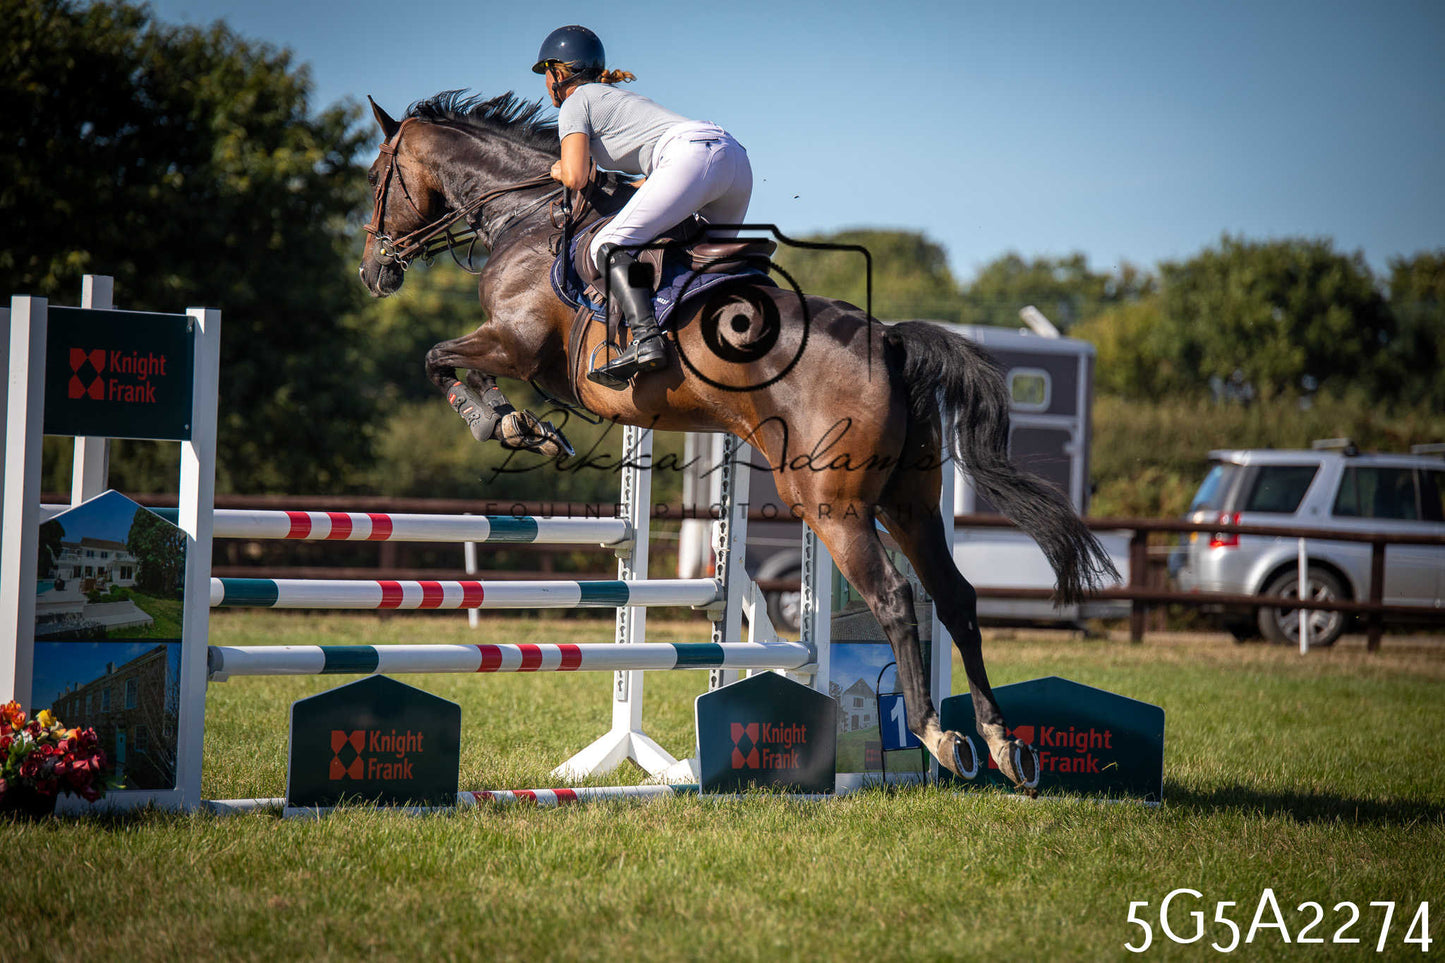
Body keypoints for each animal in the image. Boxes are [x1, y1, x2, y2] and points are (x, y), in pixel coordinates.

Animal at [356, 91, 1118, 789]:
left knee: (896, 599)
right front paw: (527, 427)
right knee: (956, 598)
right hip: (910, 500)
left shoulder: (514, 344)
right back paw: (1000, 744)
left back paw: (937, 735)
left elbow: (438, 358)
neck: (524, 215)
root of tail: (892, 341)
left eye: (373, 177)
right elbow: (461, 367)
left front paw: (503, 423)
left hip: (832, 504)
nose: (373, 270)